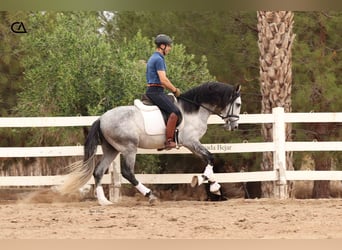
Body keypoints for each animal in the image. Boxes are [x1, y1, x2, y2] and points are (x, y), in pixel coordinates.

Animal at [57, 82, 242, 205]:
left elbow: (209, 159)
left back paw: (104, 201)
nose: (234, 126)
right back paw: (149, 195)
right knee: (127, 173)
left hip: (112, 150)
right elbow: (210, 157)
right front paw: (207, 182)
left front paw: (212, 184)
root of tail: (101, 119)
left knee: (98, 171)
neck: (194, 110)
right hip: (129, 148)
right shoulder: (191, 141)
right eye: (238, 104)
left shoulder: (191, 144)